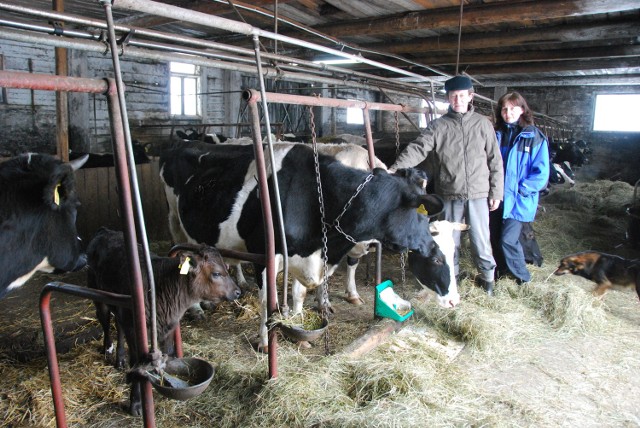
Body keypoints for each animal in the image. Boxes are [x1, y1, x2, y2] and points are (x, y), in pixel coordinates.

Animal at [160, 142, 450, 350]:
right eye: (422, 213)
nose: (432, 247)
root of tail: (179, 143)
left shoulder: (307, 254)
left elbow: (298, 294)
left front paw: (299, 329)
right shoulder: (264, 254)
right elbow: (267, 302)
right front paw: (264, 343)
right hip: (174, 221)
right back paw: (197, 309)